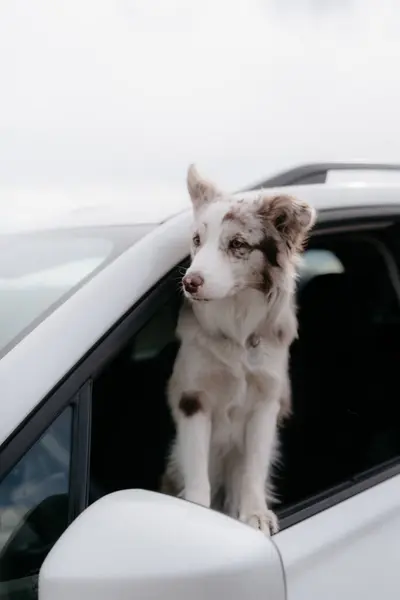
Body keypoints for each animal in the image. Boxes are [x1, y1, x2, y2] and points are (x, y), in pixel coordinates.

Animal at [161, 164, 314, 536]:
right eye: (197, 240)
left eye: (238, 244)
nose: (189, 282)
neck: (237, 333)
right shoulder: (193, 397)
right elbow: (197, 470)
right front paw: (195, 513)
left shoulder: (267, 399)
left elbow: (254, 467)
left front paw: (255, 514)